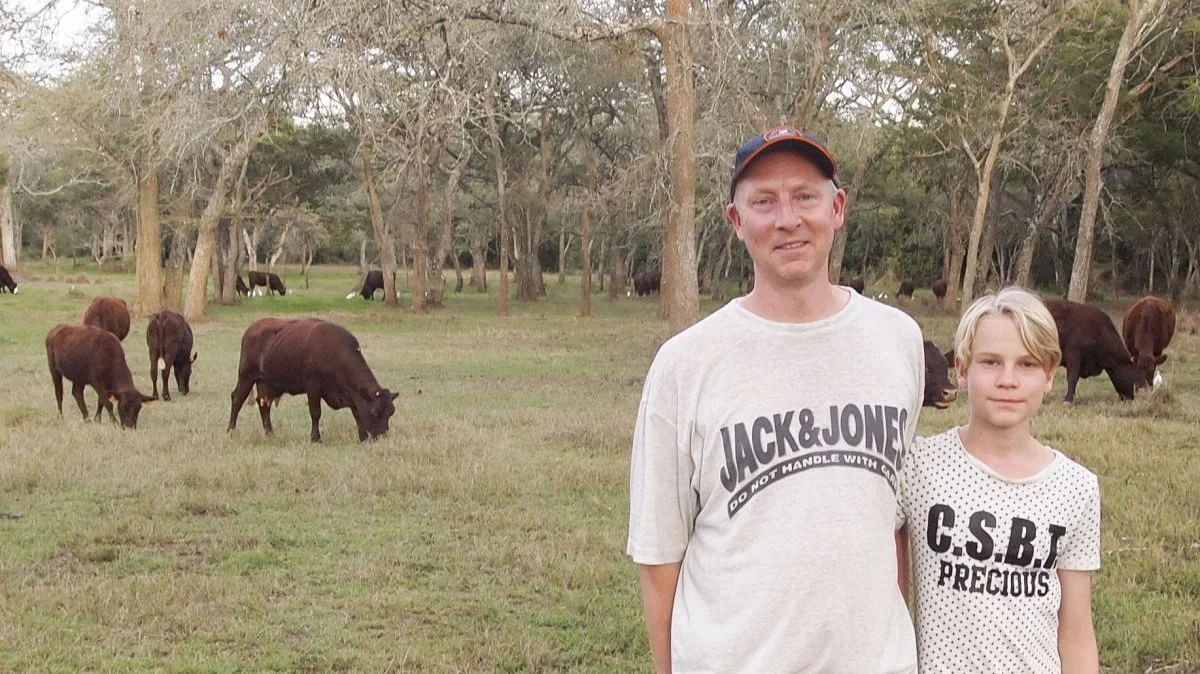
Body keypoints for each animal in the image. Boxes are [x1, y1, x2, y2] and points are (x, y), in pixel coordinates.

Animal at [229, 316, 403, 441]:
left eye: (390, 413)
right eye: (375, 412)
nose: (381, 435)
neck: (335, 353)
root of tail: (254, 328)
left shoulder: (352, 393)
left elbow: (357, 413)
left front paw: (362, 437)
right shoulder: (313, 387)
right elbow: (315, 413)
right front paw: (315, 438)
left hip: (266, 382)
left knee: (264, 405)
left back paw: (270, 433)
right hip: (246, 376)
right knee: (237, 399)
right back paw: (230, 430)